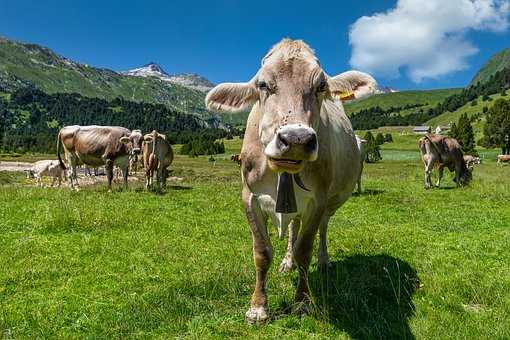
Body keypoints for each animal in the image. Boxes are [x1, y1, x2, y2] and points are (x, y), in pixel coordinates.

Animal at [205, 38, 376, 322]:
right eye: (263, 84)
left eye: (321, 86)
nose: (296, 139)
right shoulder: (249, 198)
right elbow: (262, 253)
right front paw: (258, 307)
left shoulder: (318, 200)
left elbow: (304, 249)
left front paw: (303, 302)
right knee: (293, 227)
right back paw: (287, 262)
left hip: (331, 202)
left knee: (323, 229)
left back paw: (323, 260)